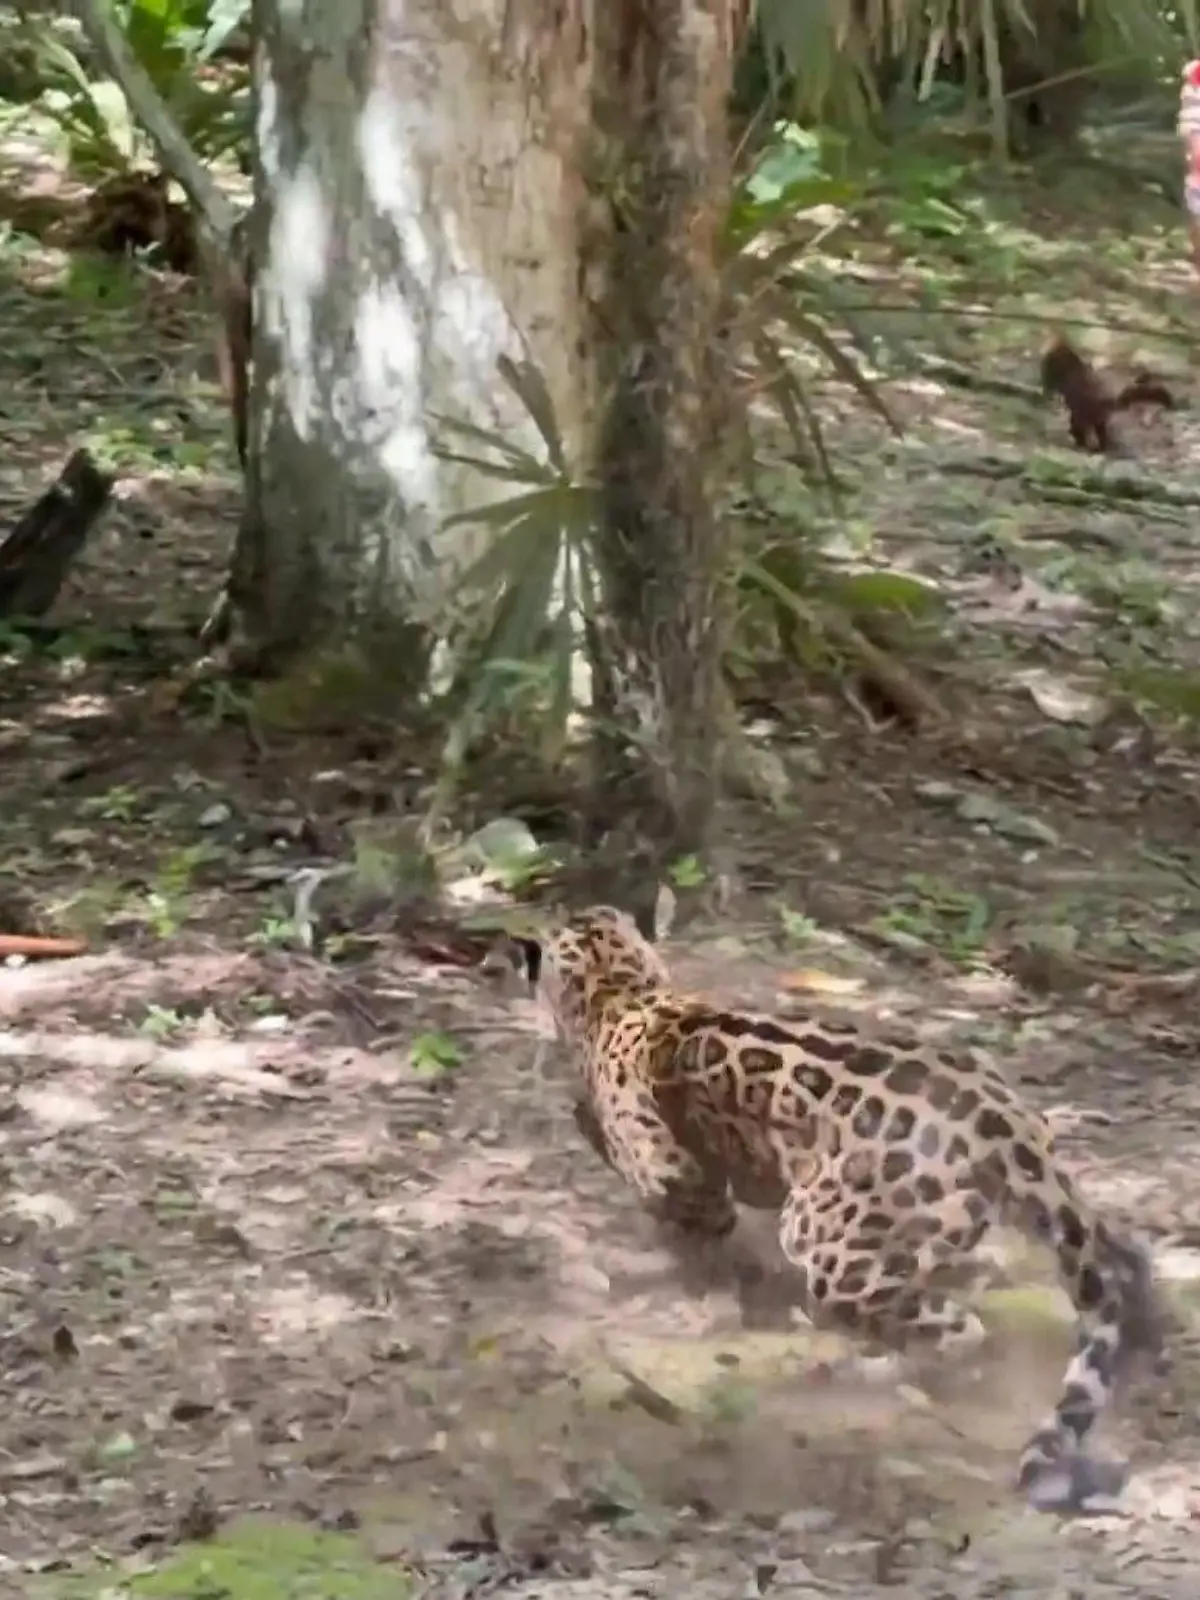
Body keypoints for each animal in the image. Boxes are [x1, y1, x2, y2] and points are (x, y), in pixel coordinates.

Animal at [515, 903, 1165, 1515]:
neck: (621, 991)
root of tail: (999, 1119)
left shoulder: (675, 1171)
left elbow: (692, 1218)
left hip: (826, 1241)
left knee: (958, 1330)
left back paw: (876, 1368)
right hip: (1040, 1207)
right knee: (1114, 1254)